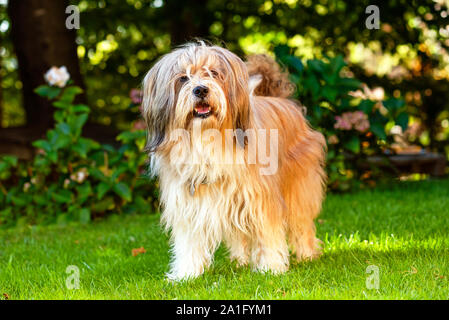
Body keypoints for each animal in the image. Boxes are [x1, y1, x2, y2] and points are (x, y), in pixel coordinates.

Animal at [141, 40, 326, 280]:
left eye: (213, 73)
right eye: (183, 78)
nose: (201, 89)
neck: (207, 139)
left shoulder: (260, 198)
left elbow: (268, 233)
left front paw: (270, 268)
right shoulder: (190, 201)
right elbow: (190, 241)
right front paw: (187, 274)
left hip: (298, 186)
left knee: (301, 223)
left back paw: (307, 255)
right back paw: (239, 261)